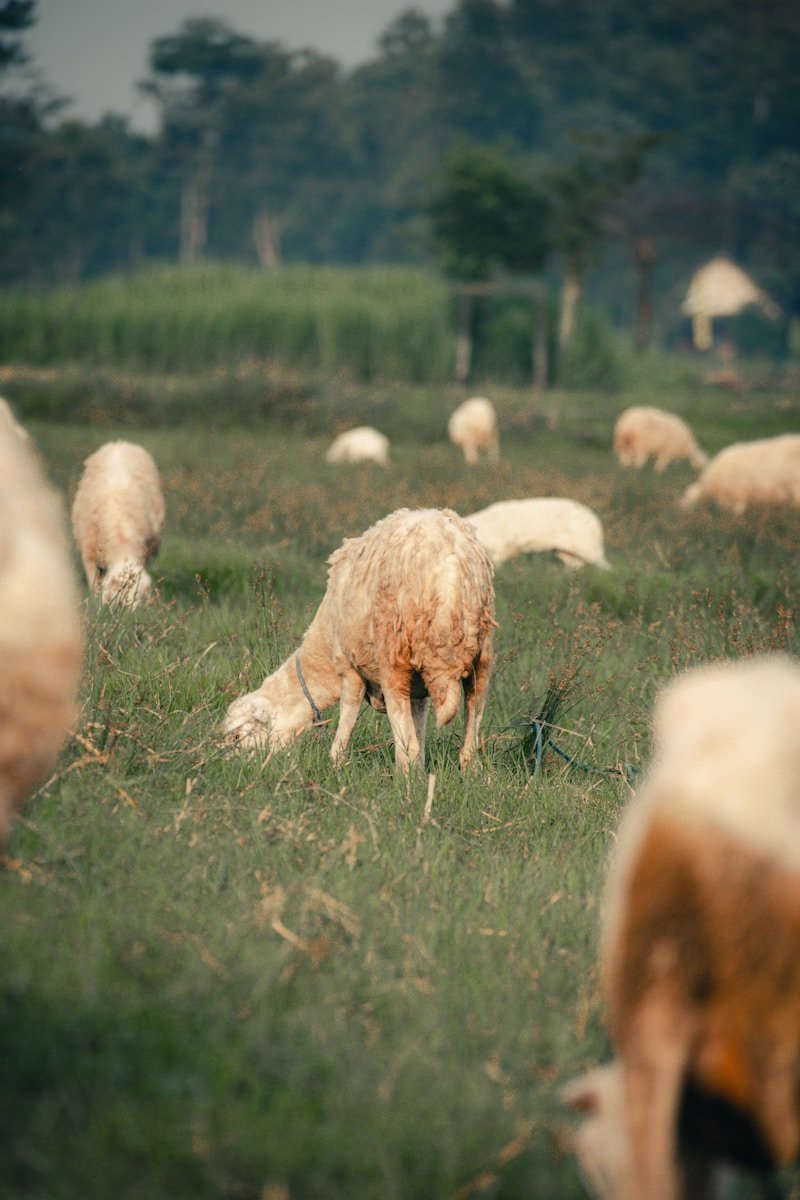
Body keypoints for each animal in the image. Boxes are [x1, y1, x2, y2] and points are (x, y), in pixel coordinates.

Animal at [71, 440, 165, 608]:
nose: (130, 613)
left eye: (139, 597)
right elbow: (95, 585)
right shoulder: (90, 555)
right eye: (120, 594)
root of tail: (120, 443)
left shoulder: (146, 553)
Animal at [223, 507, 496, 774]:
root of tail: (451, 571)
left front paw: (334, 765)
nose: (227, 766)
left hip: (393, 657)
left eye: (237, 737)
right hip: (481, 657)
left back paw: (403, 785)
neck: (323, 650)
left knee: (406, 747)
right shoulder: (418, 691)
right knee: (468, 746)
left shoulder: (349, 668)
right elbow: (419, 734)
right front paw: (421, 775)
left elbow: (348, 717)